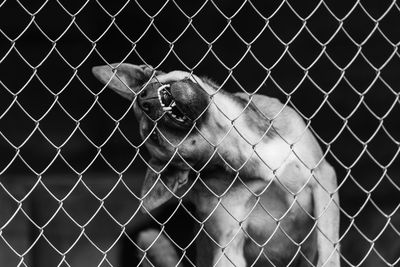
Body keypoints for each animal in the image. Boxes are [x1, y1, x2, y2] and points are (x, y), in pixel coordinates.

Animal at [92, 63, 340, 266]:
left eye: (146, 89)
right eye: (155, 137)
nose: (145, 101)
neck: (238, 141)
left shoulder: (322, 179)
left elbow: (327, 249)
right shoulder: (229, 244)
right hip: (150, 237)